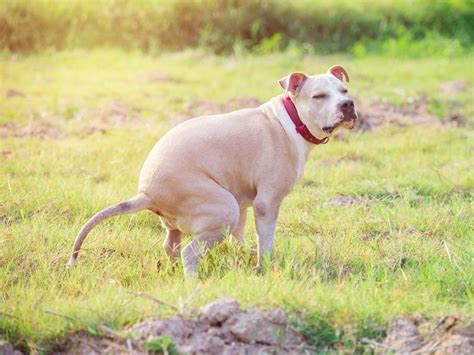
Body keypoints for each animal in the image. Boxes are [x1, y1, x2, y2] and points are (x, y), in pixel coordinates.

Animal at [65, 66, 356, 278]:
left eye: (344, 90)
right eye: (319, 96)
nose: (348, 105)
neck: (292, 120)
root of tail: (146, 193)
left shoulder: (244, 201)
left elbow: (239, 236)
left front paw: (244, 256)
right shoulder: (267, 203)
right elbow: (266, 241)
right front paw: (264, 268)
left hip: (191, 218)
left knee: (171, 245)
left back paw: (173, 273)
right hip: (223, 208)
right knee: (190, 253)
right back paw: (192, 284)